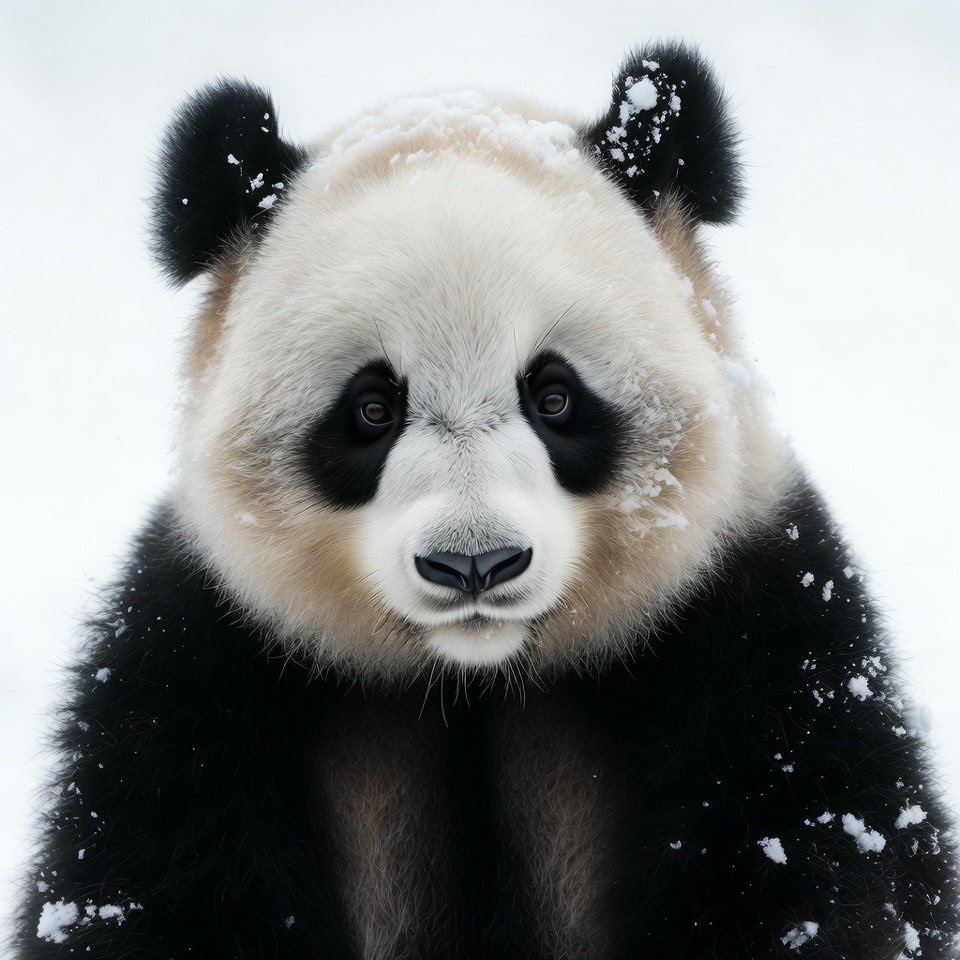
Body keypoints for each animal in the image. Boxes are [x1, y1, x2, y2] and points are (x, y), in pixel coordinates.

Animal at [15, 43, 960, 959]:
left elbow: (819, 858)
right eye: (372, 408)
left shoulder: (760, 622)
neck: (476, 679)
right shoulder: (194, 658)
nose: (474, 563)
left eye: (554, 395)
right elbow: (150, 883)